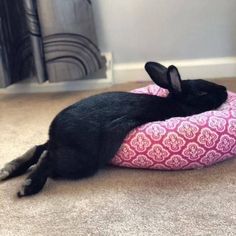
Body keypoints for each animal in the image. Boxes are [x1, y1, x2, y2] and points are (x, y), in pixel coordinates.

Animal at [0, 61, 229, 196]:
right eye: (202, 92)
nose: (226, 89)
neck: (176, 102)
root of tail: (54, 131)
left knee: (38, 149)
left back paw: (7, 171)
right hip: (81, 162)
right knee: (47, 158)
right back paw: (28, 186)